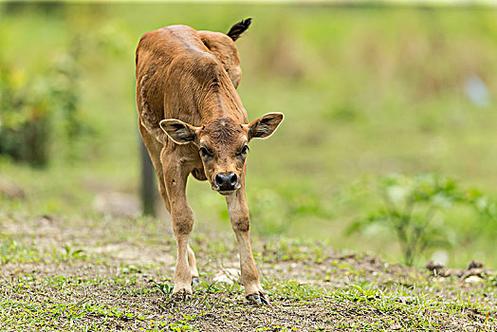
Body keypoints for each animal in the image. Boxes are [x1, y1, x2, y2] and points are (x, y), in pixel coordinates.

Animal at [136, 18, 282, 304]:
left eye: (244, 147)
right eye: (204, 149)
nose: (225, 179)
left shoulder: (241, 172)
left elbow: (241, 218)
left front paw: (254, 288)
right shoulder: (172, 160)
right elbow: (182, 218)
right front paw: (182, 284)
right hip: (150, 144)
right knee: (166, 202)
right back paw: (191, 270)